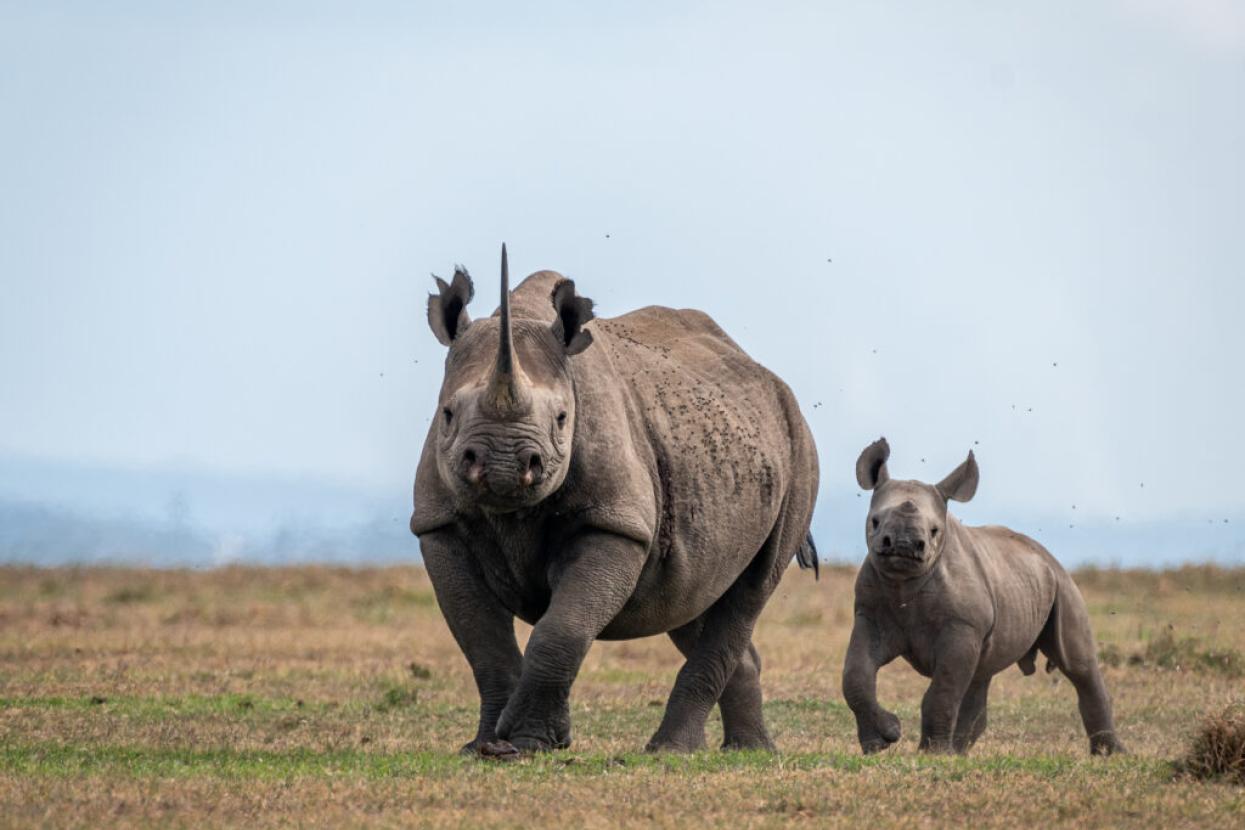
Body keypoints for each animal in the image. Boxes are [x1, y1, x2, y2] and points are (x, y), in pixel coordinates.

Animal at [408, 243, 816, 756]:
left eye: (563, 418)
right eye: (447, 414)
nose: (502, 466)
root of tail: (770, 379)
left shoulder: (615, 522)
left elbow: (561, 629)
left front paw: (531, 743)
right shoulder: (439, 523)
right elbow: (481, 638)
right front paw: (488, 747)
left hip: (800, 447)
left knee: (751, 589)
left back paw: (672, 752)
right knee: (692, 596)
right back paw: (747, 751)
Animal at [841, 438, 1125, 756]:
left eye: (935, 530)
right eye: (875, 522)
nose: (903, 544)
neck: (904, 582)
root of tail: (1045, 554)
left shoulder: (962, 626)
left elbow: (944, 690)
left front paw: (932, 753)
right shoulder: (869, 615)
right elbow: (856, 676)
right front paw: (881, 741)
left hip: (1063, 584)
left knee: (1079, 665)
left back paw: (1110, 755)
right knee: (980, 675)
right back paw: (959, 752)